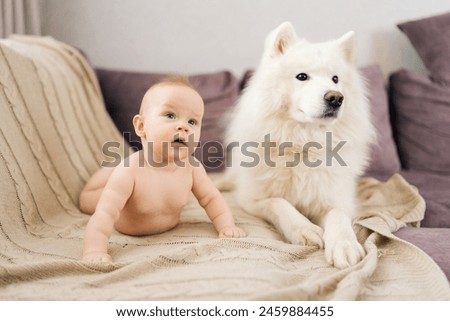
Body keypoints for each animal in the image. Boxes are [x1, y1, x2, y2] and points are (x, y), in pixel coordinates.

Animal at [220, 21, 374, 268]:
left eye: (335, 79)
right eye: (302, 76)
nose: (336, 98)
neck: (302, 143)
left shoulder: (335, 199)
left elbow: (338, 216)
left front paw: (345, 245)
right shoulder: (251, 199)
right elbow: (280, 203)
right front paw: (304, 229)